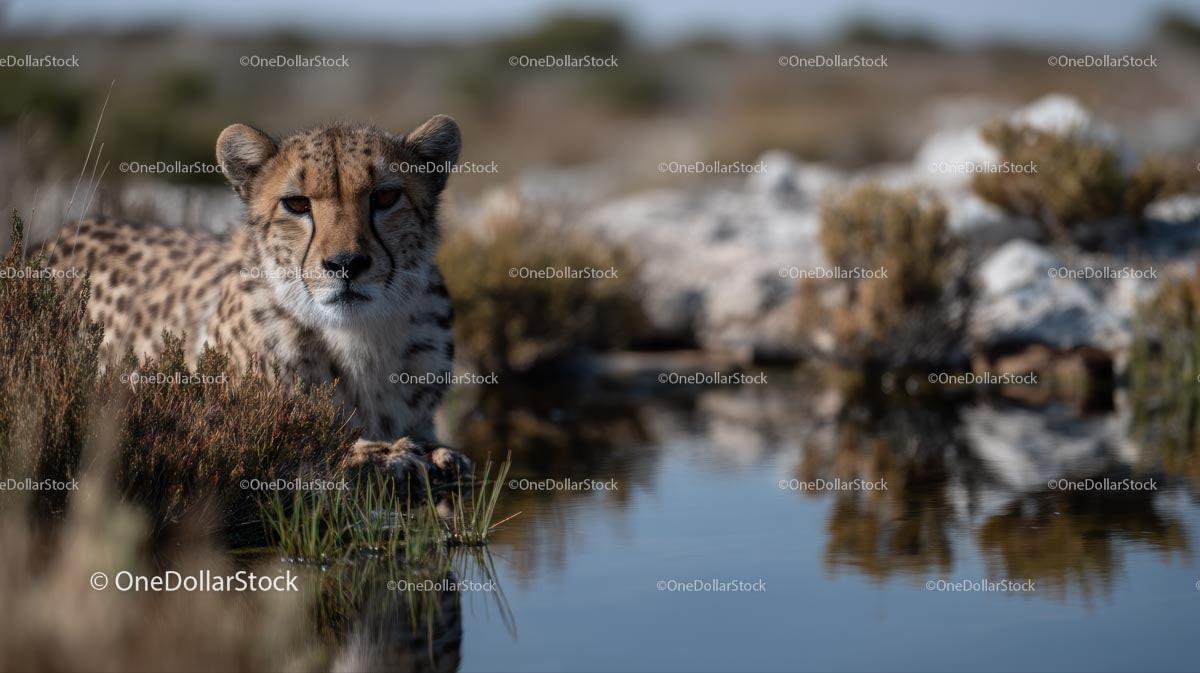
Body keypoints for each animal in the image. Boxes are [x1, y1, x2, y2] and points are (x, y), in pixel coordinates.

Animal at [41, 115, 471, 492]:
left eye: (385, 196)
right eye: (296, 204)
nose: (346, 264)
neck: (359, 339)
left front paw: (432, 452)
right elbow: (311, 444)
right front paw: (385, 453)